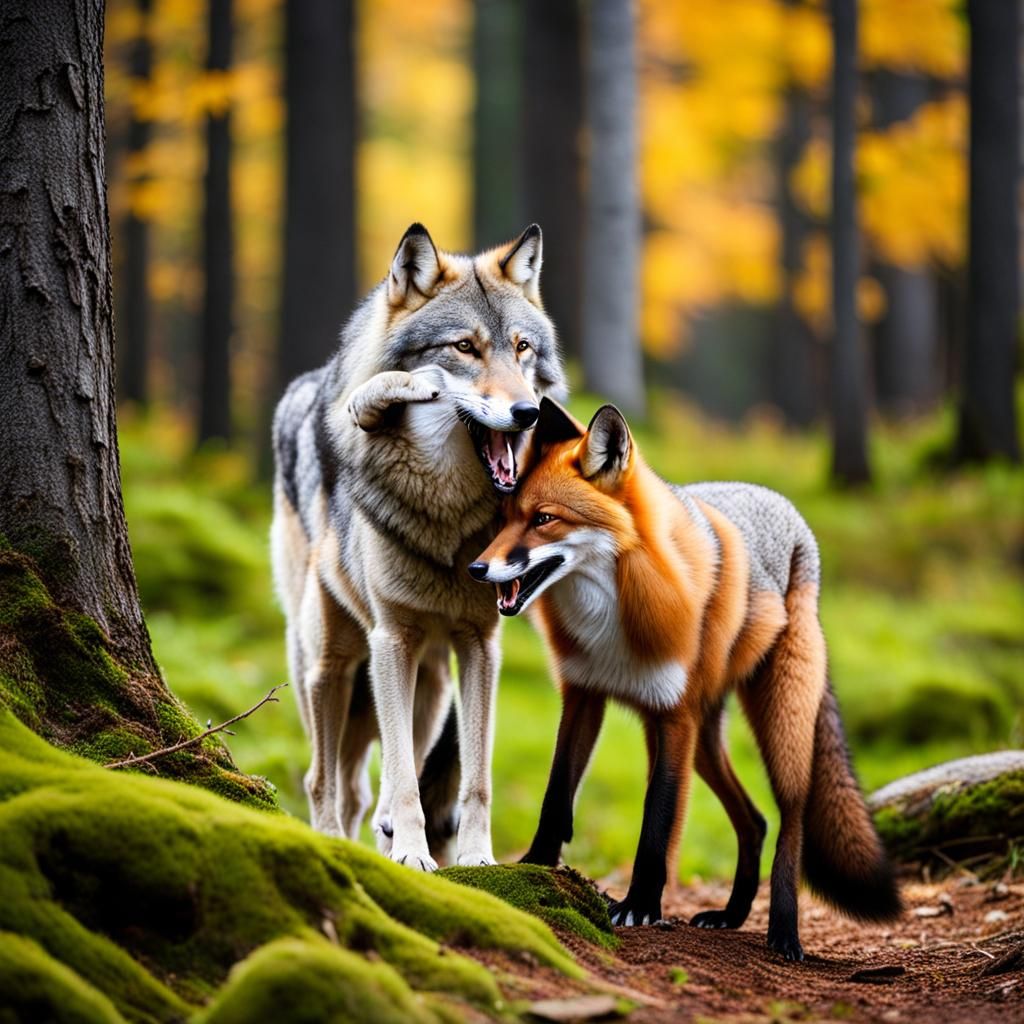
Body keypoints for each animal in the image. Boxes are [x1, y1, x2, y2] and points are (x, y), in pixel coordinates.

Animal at [271, 224, 566, 871]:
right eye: (464, 348)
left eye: (522, 348)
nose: (528, 413)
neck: (450, 518)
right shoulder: (391, 639)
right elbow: (405, 777)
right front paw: (411, 854)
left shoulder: (480, 646)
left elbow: (473, 778)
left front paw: (475, 859)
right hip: (330, 665)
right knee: (324, 781)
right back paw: (336, 844)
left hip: (431, 682)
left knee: (374, 777)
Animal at [469, 398, 901, 959]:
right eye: (505, 520)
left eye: (544, 519)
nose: (476, 569)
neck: (613, 618)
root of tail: (787, 510)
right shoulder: (584, 696)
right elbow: (556, 794)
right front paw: (534, 869)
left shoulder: (676, 716)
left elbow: (657, 817)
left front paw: (638, 906)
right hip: (700, 737)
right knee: (754, 820)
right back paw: (732, 914)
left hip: (770, 723)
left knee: (791, 819)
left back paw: (784, 931)